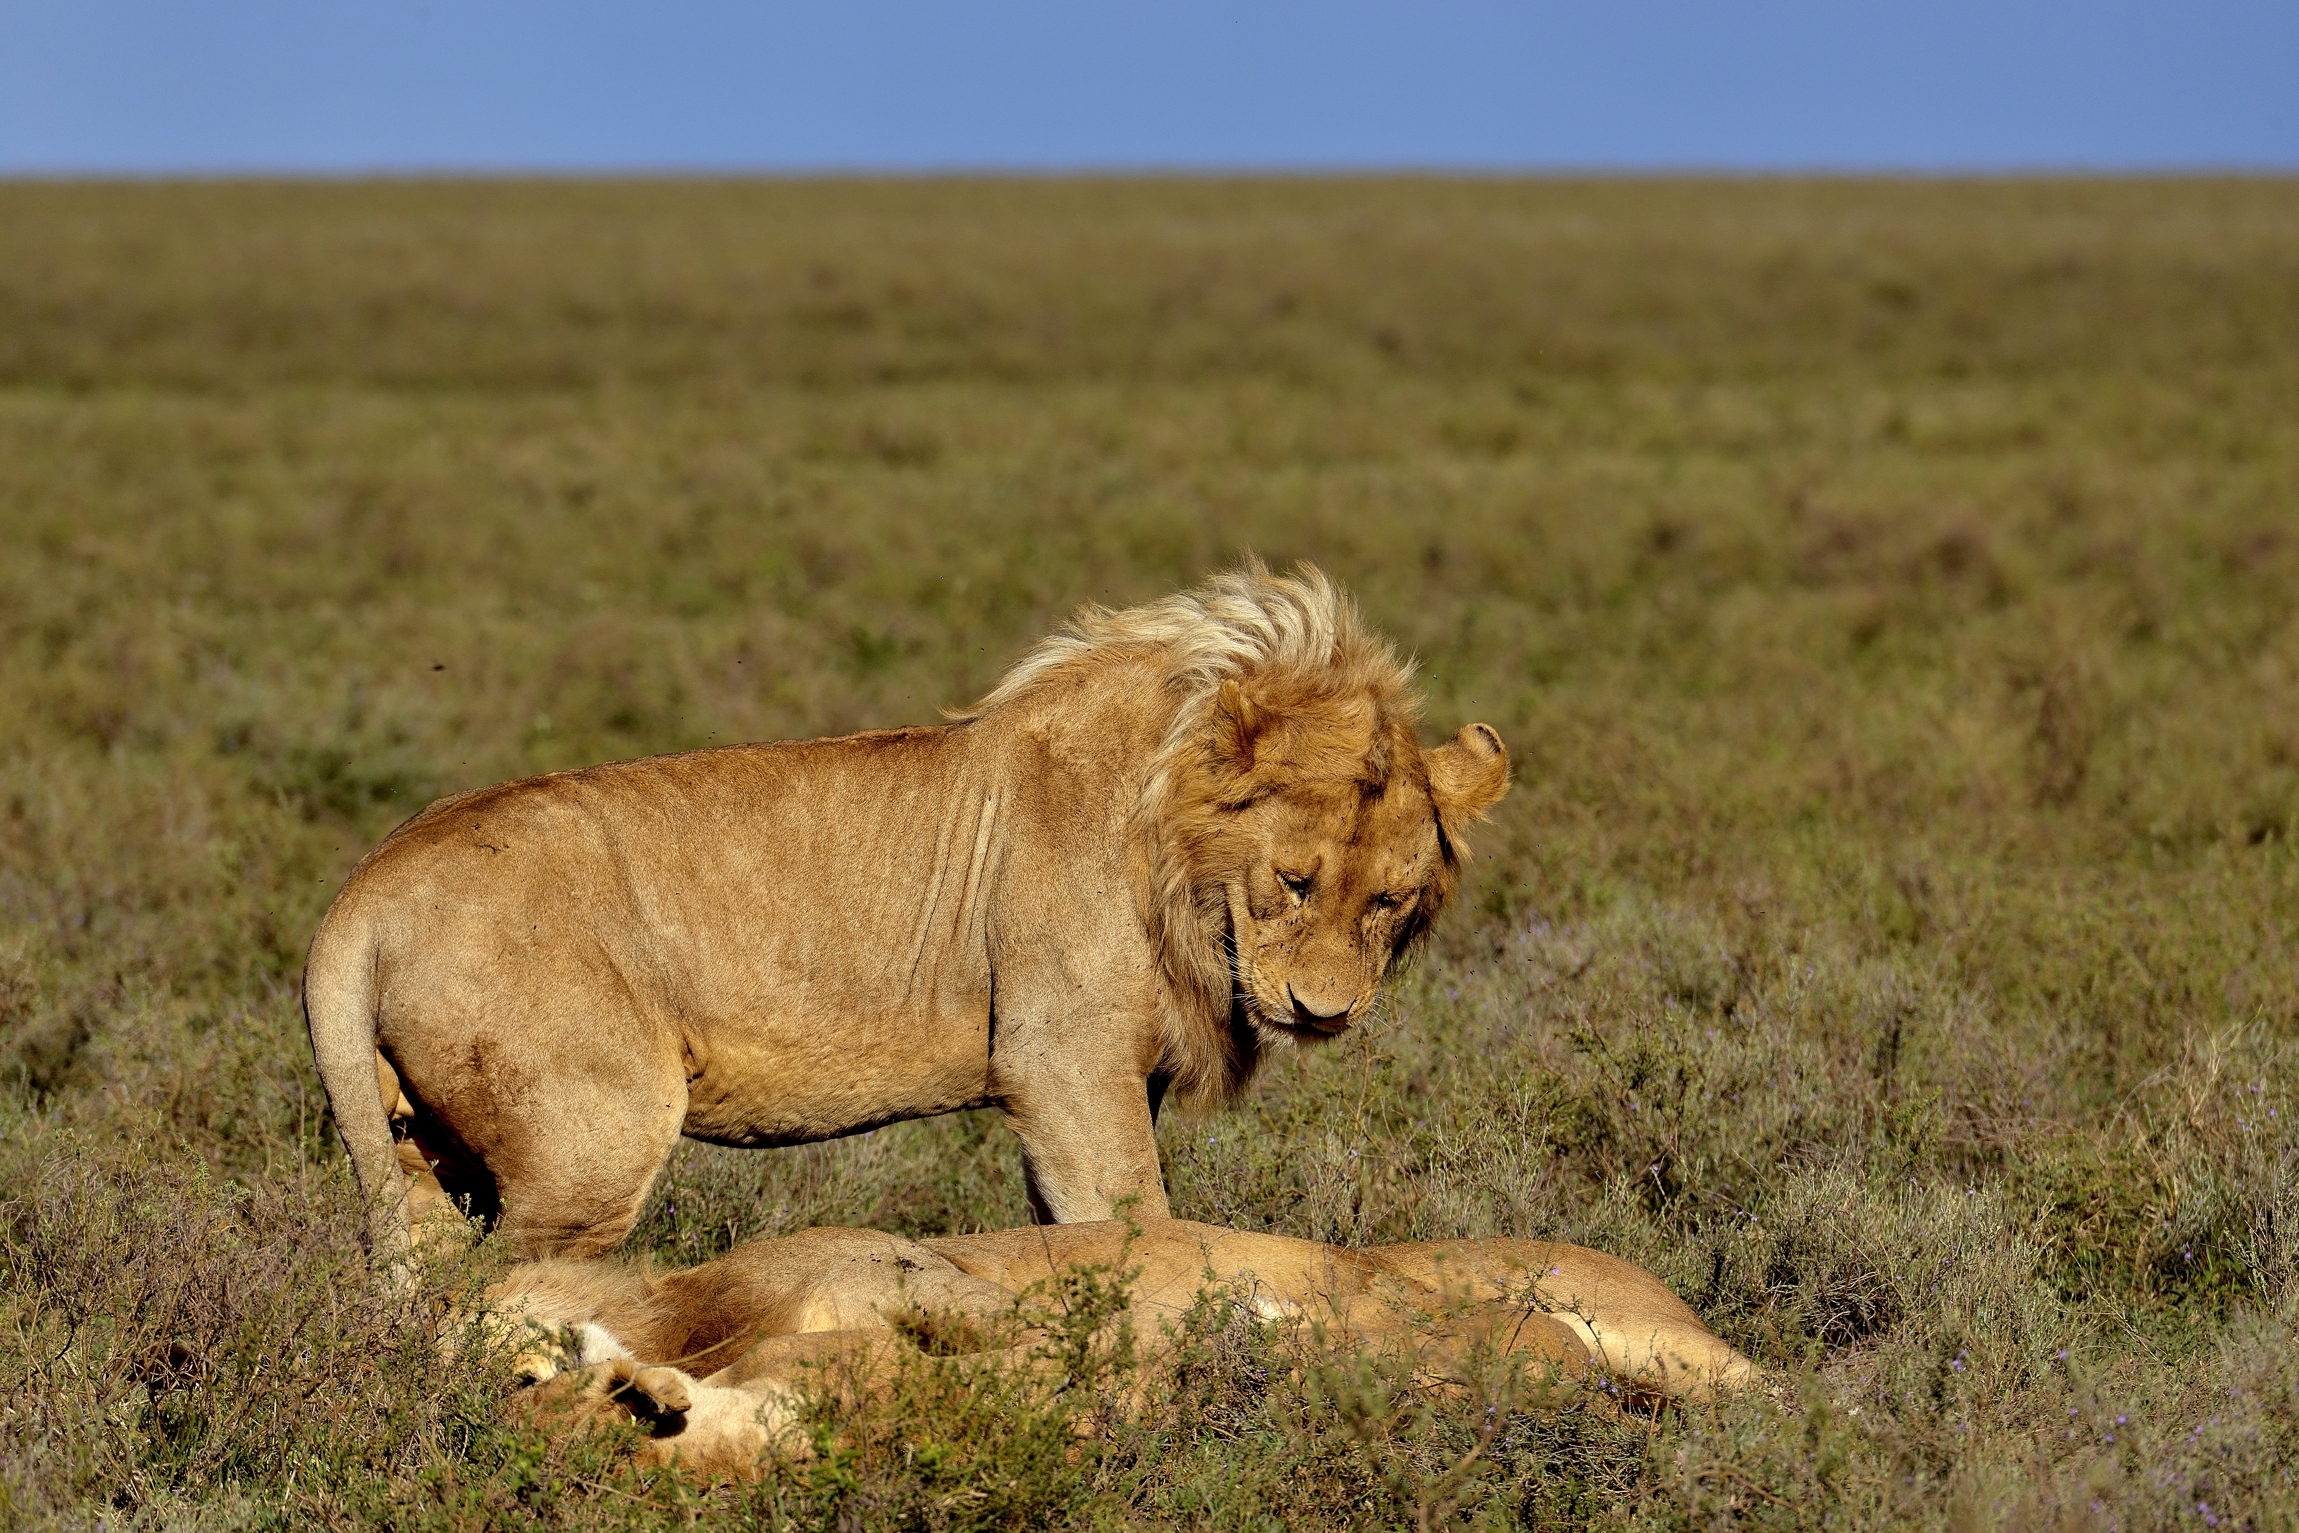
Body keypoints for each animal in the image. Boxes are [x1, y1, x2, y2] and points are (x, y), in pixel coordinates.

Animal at [306, 565, 1511, 1260]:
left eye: (1389, 902)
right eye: (1294, 881)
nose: (1323, 1012)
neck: (1173, 858)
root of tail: (363, 891)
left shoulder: (1105, 1080)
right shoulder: (1059, 1059)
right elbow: (1133, 1219)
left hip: (420, 1149)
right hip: (589, 1141)